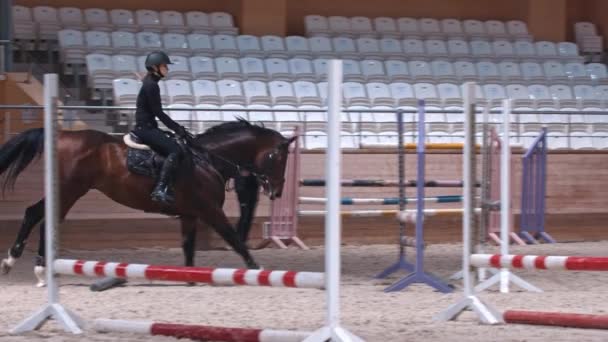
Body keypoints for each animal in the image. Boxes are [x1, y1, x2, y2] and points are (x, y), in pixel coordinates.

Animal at [0, 120, 296, 286]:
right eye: (278, 157)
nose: (277, 191)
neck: (207, 159)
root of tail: (61, 136)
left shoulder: (190, 215)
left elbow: (189, 250)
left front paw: (190, 279)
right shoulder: (210, 211)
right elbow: (234, 239)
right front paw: (257, 270)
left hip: (67, 191)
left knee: (33, 213)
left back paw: (15, 262)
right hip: (70, 191)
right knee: (43, 220)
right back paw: (38, 269)